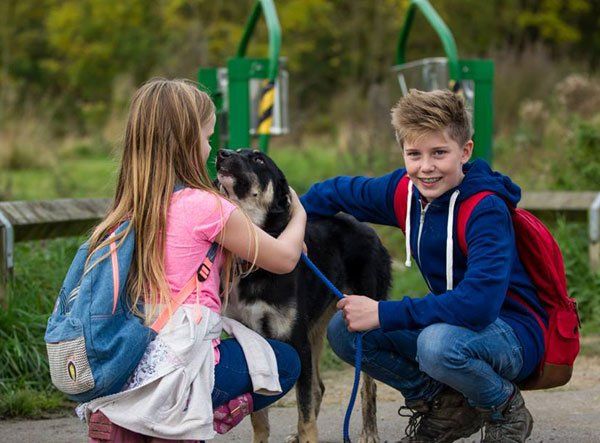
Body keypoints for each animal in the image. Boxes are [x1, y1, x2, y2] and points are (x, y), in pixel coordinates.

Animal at [218, 150, 392, 443]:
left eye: (259, 159)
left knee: (367, 386)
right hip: (315, 328)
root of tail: (367, 229)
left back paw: (369, 432)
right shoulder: (253, 341)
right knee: (319, 388)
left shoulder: (297, 342)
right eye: (237, 152)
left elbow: (305, 411)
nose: (221, 153)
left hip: (362, 320)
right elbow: (259, 416)